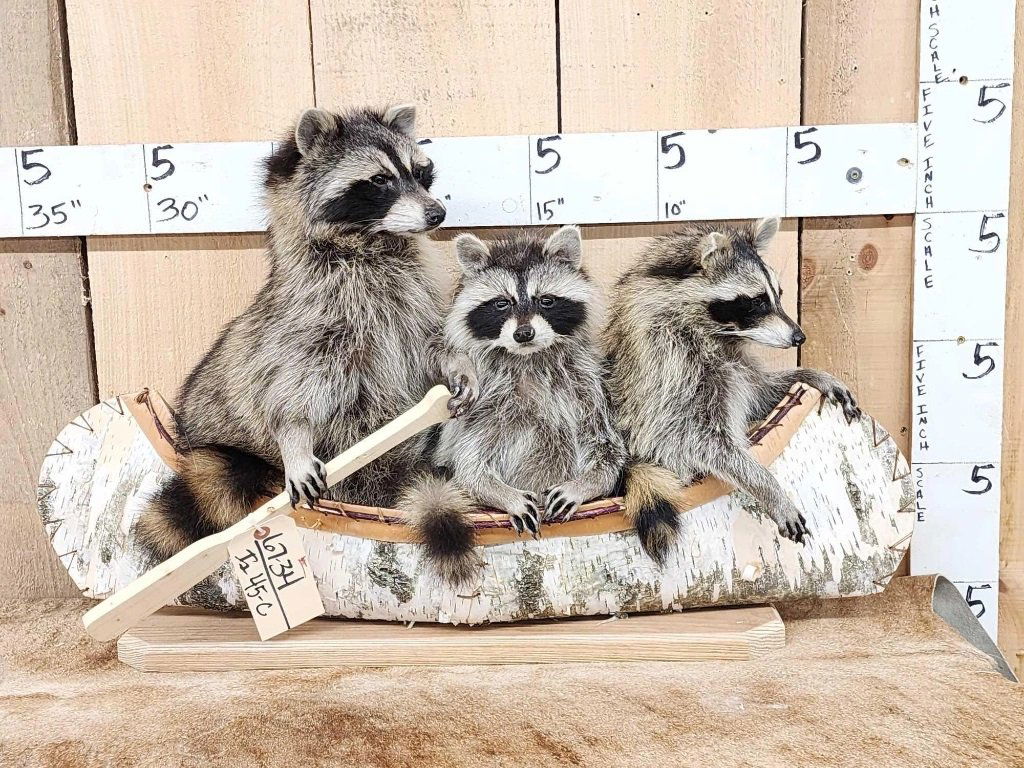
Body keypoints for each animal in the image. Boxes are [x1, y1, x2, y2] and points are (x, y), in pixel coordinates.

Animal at [136, 104, 473, 560]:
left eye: (421, 173)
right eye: (380, 180)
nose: (438, 213)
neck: (372, 242)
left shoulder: (415, 301)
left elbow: (433, 341)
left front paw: (458, 363)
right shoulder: (311, 316)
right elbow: (289, 389)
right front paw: (293, 436)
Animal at [400, 226, 627, 586]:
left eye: (546, 300)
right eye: (501, 303)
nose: (524, 333)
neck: (529, 358)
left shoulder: (590, 387)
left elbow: (607, 448)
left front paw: (587, 484)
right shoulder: (484, 403)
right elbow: (469, 464)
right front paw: (500, 493)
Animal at [606, 217, 861, 564]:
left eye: (779, 294)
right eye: (756, 301)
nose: (799, 337)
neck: (717, 336)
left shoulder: (735, 370)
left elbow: (759, 393)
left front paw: (811, 374)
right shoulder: (669, 374)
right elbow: (696, 441)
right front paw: (766, 484)